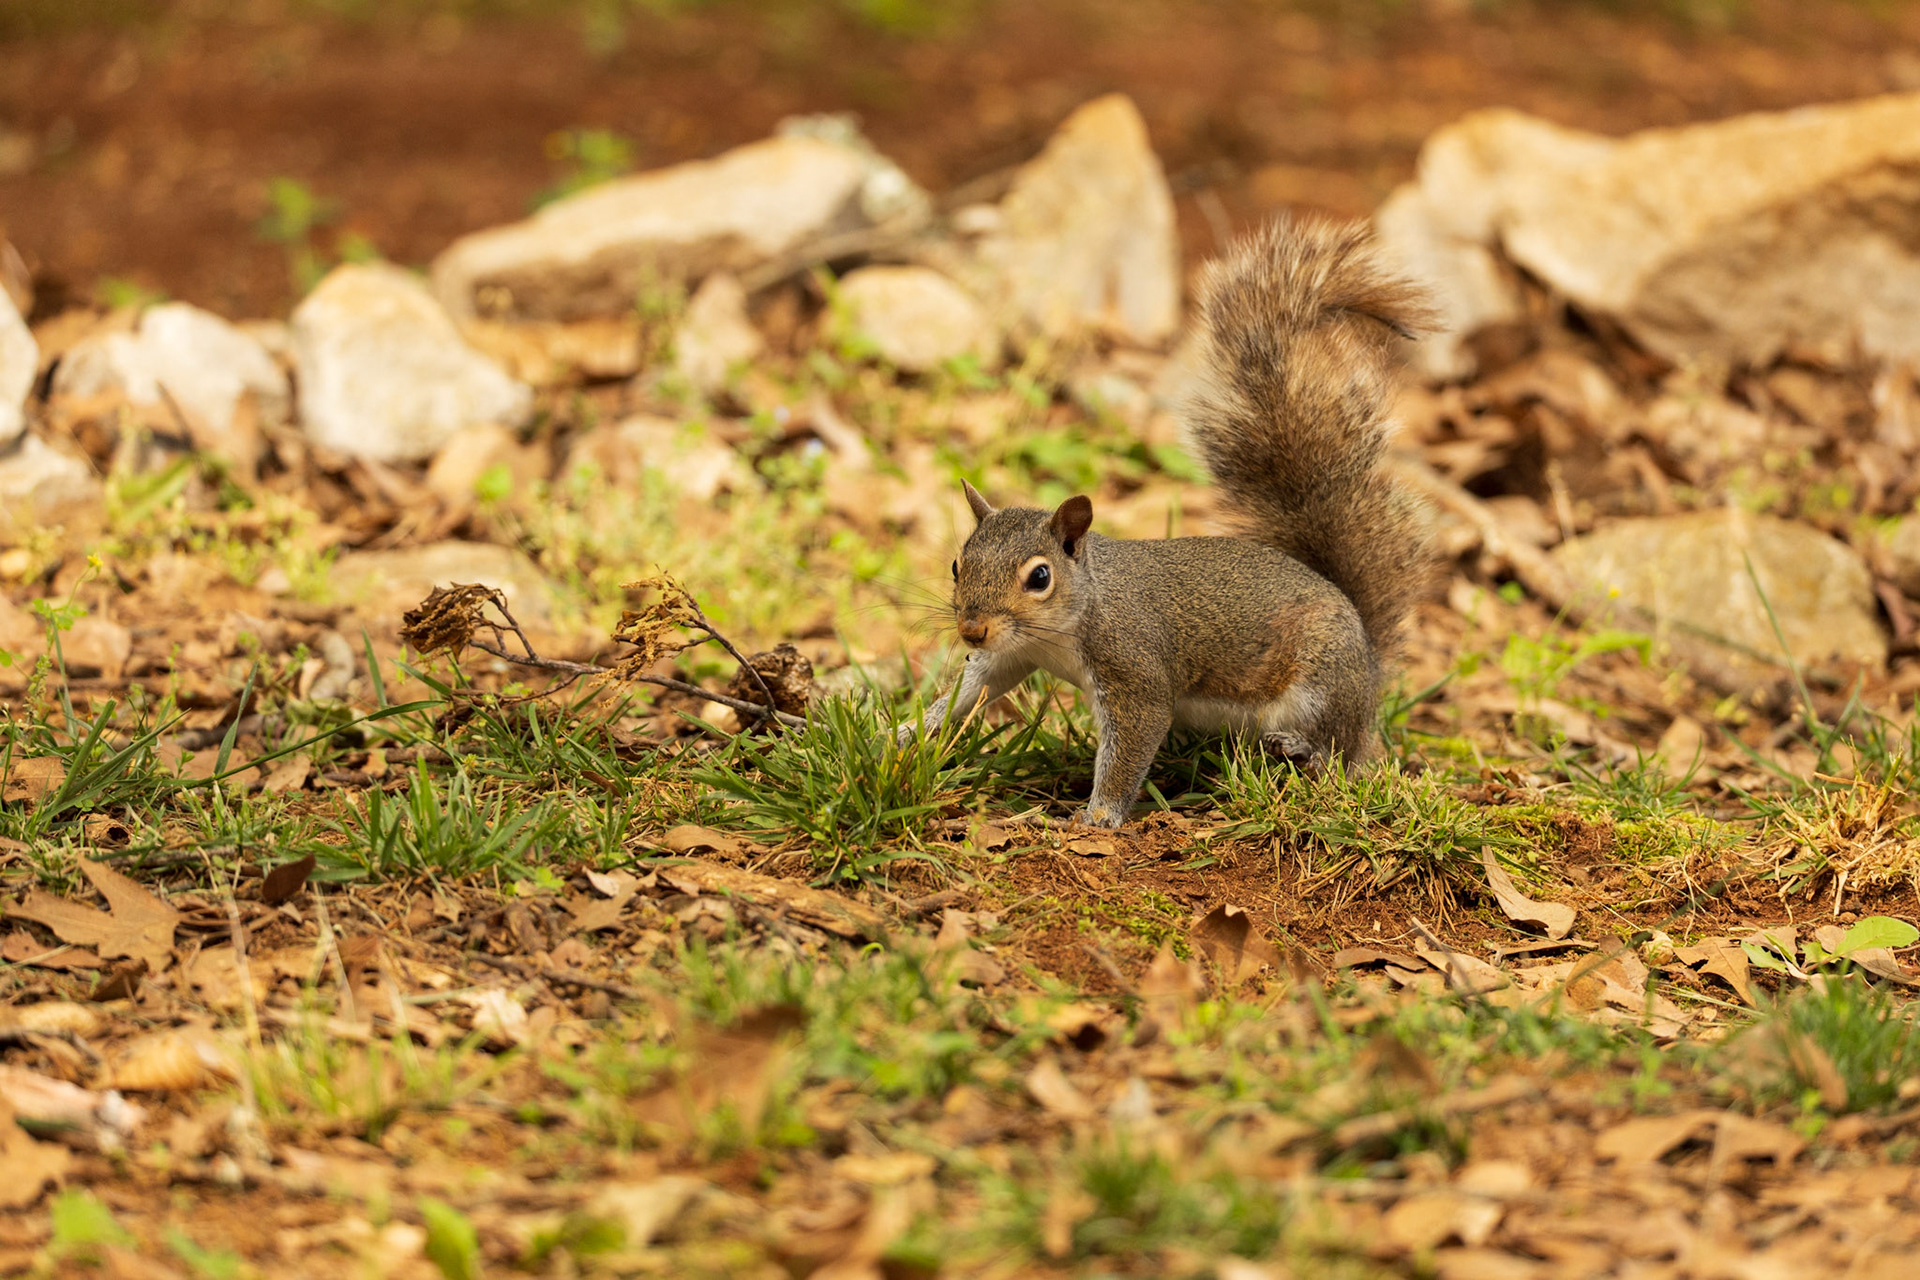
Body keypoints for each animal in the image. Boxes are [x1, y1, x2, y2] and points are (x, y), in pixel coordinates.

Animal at [898, 215, 1435, 829]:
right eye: (957, 564)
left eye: (1039, 577)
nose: (971, 629)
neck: (1072, 617)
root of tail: (1368, 657)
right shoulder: (1010, 653)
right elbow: (969, 691)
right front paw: (907, 729)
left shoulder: (1134, 669)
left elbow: (1134, 738)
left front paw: (1098, 817)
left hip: (1323, 682)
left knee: (1344, 754)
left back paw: (1304, 750)